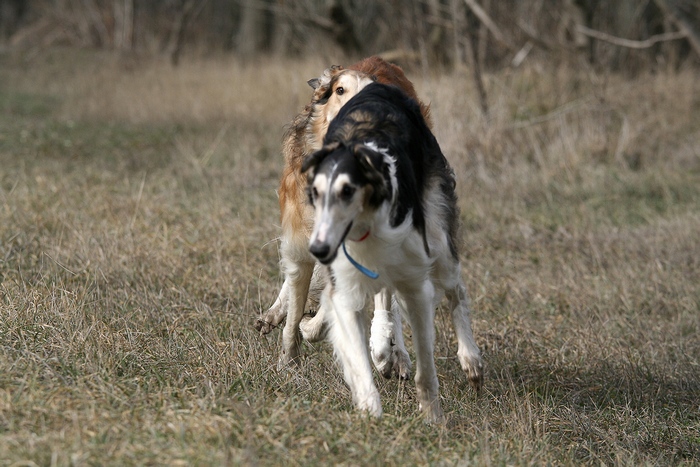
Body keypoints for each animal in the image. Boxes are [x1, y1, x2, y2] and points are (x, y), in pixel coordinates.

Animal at [300, 82, 482, 422]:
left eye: (348, 190)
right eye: (315, 193)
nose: (318, 249)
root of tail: (377, 85)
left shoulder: (415, 284)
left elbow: (426, 369)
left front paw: (433, 417)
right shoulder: (348, 287)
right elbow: (360, 363)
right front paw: (370, 412)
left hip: (438, 238)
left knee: (457, 292)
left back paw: (471, 359)